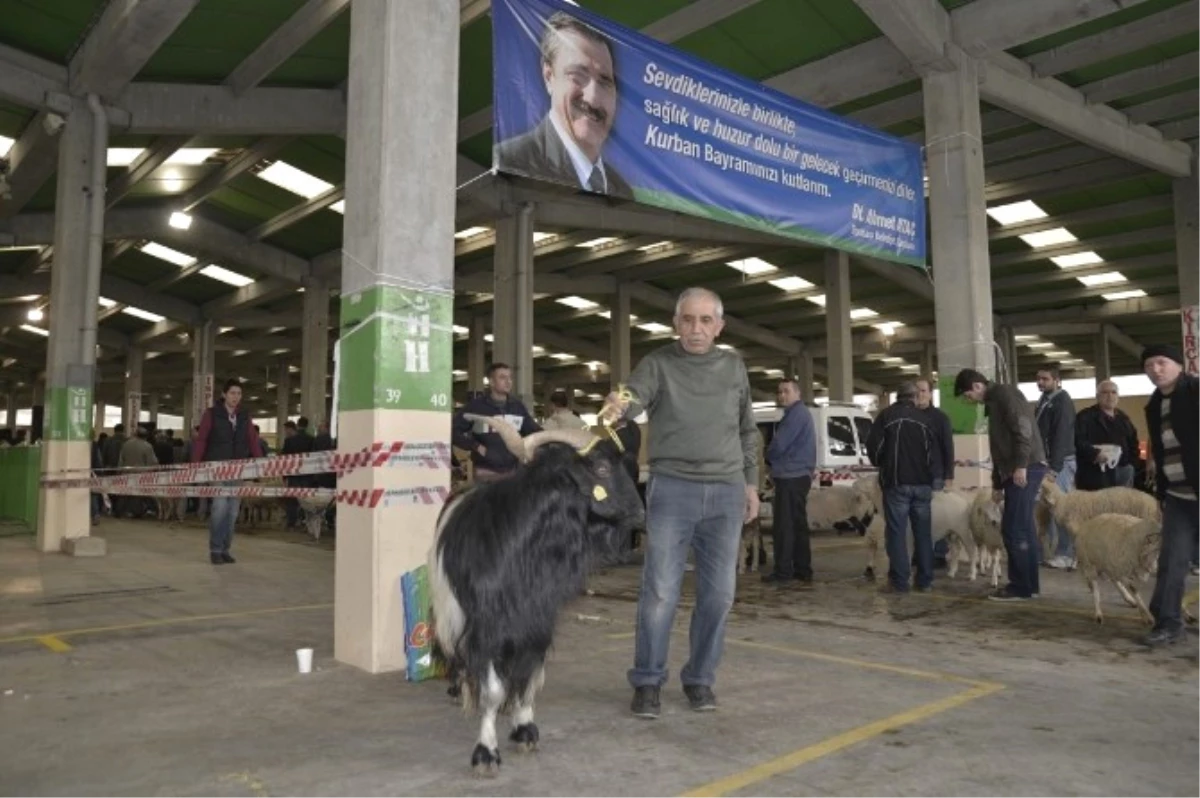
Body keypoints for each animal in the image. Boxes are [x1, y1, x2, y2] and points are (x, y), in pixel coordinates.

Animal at [427, 417, 643, 772]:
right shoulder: (488, 624)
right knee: (452, 647)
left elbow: (529, 676)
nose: (640, 513)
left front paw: (524, 728)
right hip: (450, 608)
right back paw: (458, 687)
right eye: (600, 467)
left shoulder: (537, 621)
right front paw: (485, 751)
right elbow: (492, 690)